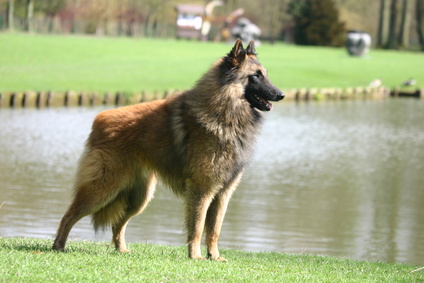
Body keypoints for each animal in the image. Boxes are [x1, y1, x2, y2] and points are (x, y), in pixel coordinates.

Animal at [53, 38, 284, 260]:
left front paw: (214, 256)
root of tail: (99, 120)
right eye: (255, 76)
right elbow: (197, 227)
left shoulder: (223, 194)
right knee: (68, 215)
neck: (224, 110)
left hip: (139, 198)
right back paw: (58, 246)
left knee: (118, 224)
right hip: (103, 189)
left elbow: (214, 230)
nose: (281, 95)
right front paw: (196, 256)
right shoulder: (202, 190)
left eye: (265, 75)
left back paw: (122, 250)